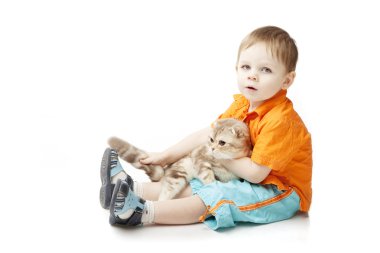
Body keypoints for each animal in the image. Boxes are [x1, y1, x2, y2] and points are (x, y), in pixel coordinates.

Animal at [108, 118, 251, 200]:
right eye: (211, 139)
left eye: (222, 142)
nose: (212, 148)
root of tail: (166, 170)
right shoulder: (199, 156)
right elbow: (207, 174)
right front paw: (213, 185)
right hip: (178, 175)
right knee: (164, 195)